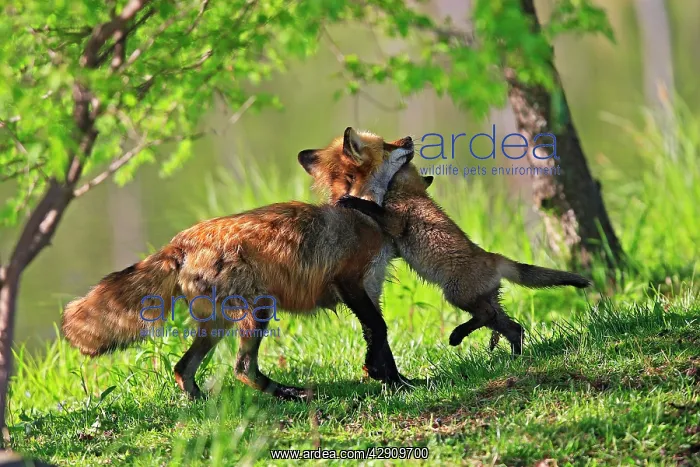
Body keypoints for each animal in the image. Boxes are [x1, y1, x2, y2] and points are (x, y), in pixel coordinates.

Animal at [62, 127, 414, 401]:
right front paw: (390, 380)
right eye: (386, 145)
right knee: (243, 368)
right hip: (257, 311)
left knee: (182, 368)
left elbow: (379, 338)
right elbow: (379, 330)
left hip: (216, 323)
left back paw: (203, 404)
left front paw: (396, 379)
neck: (360, 213)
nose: (410, 139)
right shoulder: (350, 282)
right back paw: (290, 394)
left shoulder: (371, 288)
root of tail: (181, 241)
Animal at [299, 131, 592, 355]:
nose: (408, 140)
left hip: (456, 294)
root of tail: (493, 257)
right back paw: (514, 355)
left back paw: (457, 336)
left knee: (488, 317)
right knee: (513, 327)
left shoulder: (397, 220)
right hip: (483, 299)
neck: (410, 192)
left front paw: (352, 201)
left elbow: (374, 211)